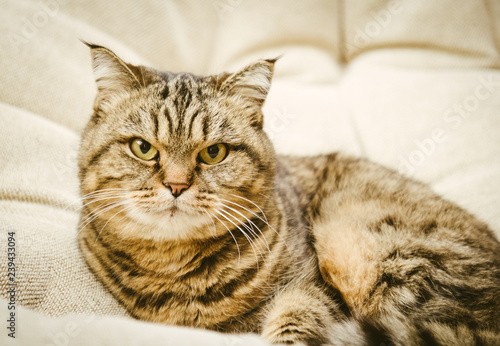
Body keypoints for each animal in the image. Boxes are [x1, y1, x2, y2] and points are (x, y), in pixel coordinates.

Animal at [78, 44, 500, 346]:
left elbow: (295, 320)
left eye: (213, 152)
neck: (174, 268)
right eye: (142, 148)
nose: (177, 185)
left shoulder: (312, 288)